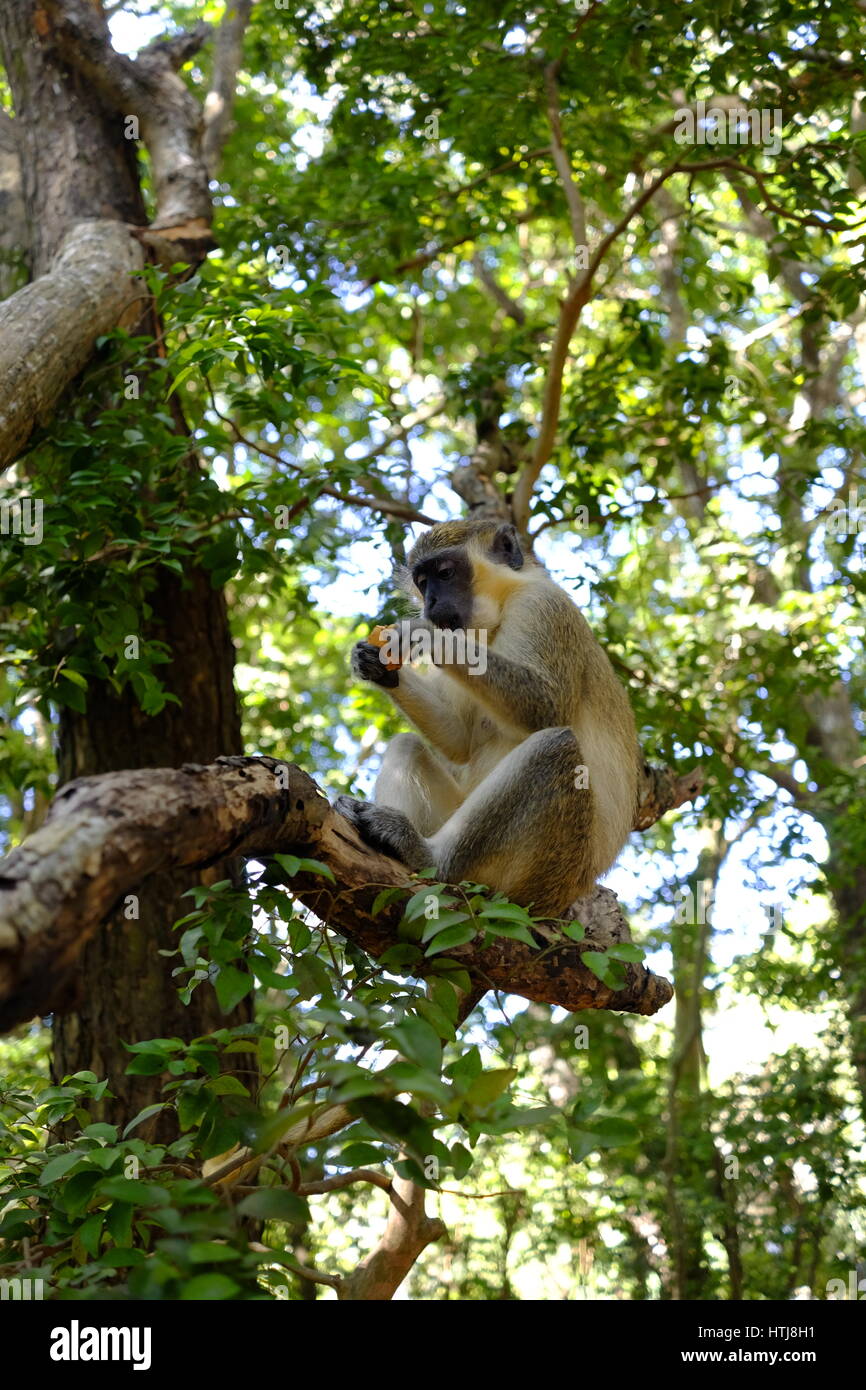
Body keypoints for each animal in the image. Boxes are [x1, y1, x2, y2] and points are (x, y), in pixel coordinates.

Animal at [335, 517, 639, 917]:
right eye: (422, 582)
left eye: (445, 573)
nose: (430, 604)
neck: (498, 612)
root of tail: (568, 895)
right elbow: (460, 740)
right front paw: (371, 662)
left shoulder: (542, 608)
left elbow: (547, 707)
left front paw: (424, 635)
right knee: (406, 746)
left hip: (549, 866)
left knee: (554, 745)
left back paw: (429, 857)